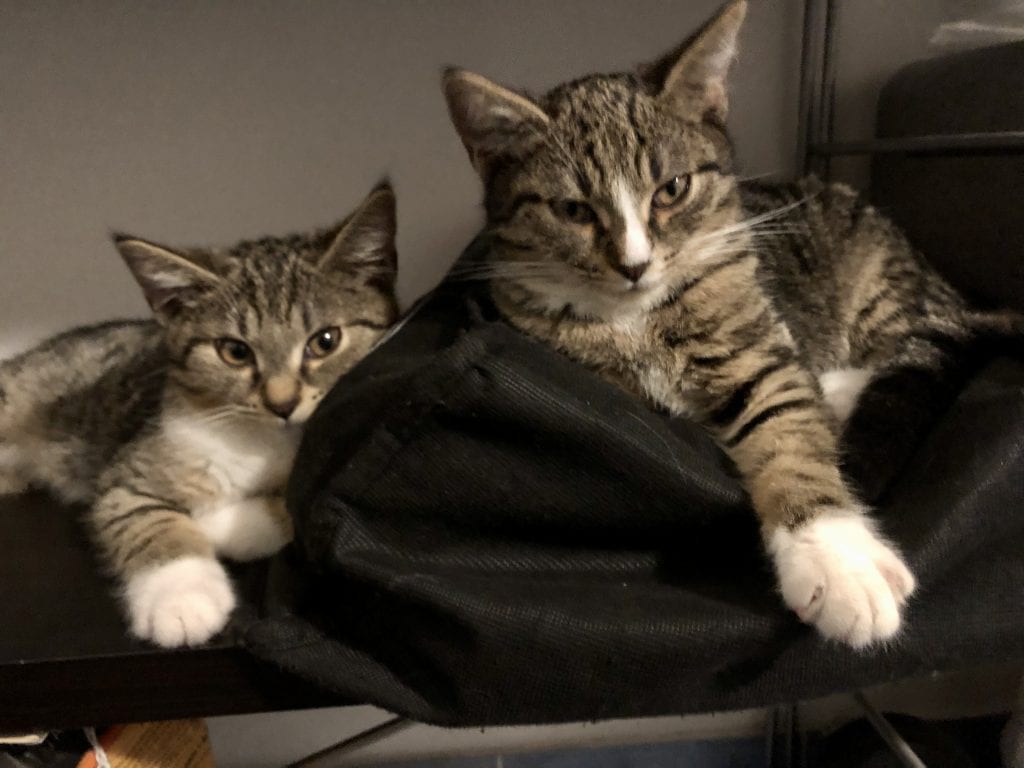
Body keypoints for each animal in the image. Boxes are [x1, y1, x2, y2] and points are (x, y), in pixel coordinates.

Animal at [0, 183, 397, 647]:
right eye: (235, 351)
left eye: (325, 341)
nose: (281, 404)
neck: (260, 438)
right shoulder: (128, 470)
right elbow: (145, 517)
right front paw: (182, 599)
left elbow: (295, 511)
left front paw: (214, 523)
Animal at [438, 1, 1015, 651]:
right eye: (572, 210)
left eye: (672, 189)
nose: (634, 265)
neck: (635, 317)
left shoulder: (754, 343)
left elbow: (784, 419)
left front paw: (836, 557)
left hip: (878, 286)